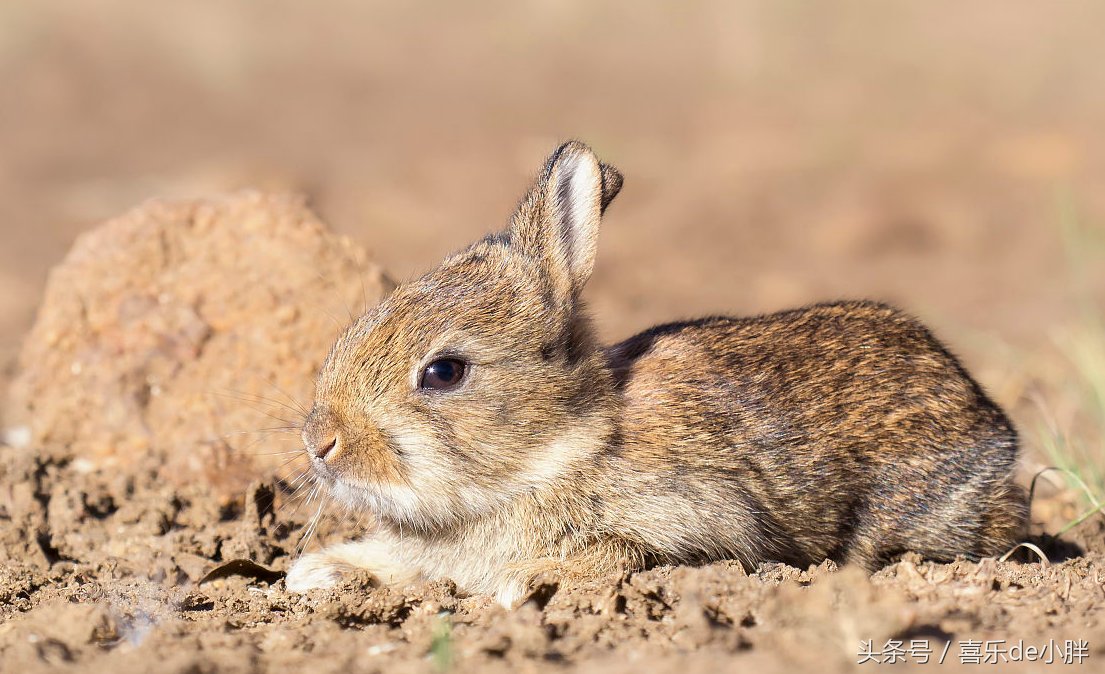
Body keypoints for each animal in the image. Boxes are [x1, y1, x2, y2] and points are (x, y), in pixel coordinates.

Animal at [285, 140, 1025, 605]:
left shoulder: (695, 522)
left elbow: (620, 551)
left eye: (443, 371)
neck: (563, 448)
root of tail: (993, 427)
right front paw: (312, 573)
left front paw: (526, 582)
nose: (320, 443)